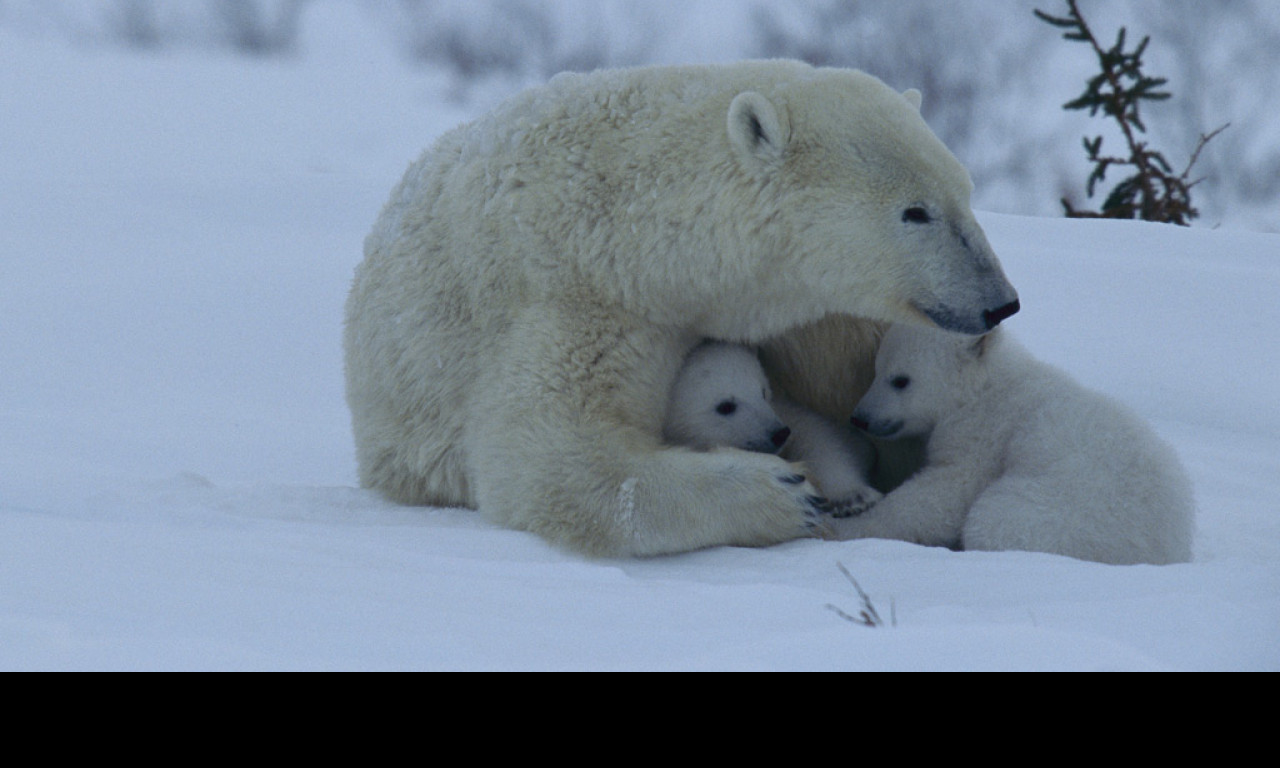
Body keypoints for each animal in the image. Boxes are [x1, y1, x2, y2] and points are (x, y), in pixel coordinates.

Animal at [665, 343, 885, 517]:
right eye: (725, 406)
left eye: (763, 391)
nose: (779, 434)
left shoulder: (785, 411)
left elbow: (819, 439)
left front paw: (852, 498)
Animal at [839, 322, 1198, 563]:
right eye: (876, 369)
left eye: (900, 380)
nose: (860, 417)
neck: (986, 384)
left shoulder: (984, 430)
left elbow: (948, 491)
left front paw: (852, 525)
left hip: (1068, 515)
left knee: (992, 520)